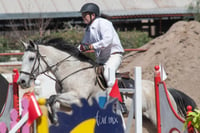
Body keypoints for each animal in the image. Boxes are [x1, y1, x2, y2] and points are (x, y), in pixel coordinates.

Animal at [16, 38, 195, 131]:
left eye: (31, 58)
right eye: (23, 58)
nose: (22, 82)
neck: (72, 71)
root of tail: (167, 89)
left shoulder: (76, 98)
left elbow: (53, 98)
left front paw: (53, 119)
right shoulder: (68, 102)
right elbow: (51, 100)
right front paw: (54, 118)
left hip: (157, 117)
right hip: (147, 121)